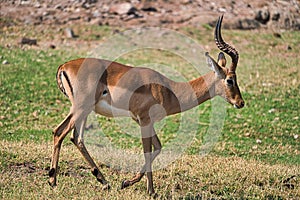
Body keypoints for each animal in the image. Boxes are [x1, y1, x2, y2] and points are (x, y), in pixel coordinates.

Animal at [47, 16, 244, 195]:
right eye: (230, 80)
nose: (240, 103)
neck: (169, 90)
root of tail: (64, 66)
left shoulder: (146, 121)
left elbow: (157, 148)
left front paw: (127, 183)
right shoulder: (144, 120)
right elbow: (147, 151)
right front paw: (149, 190)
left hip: (85, 110)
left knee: (77, 138)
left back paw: (104, 182)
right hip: (80, 108)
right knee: (59, 132)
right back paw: (52, 180)